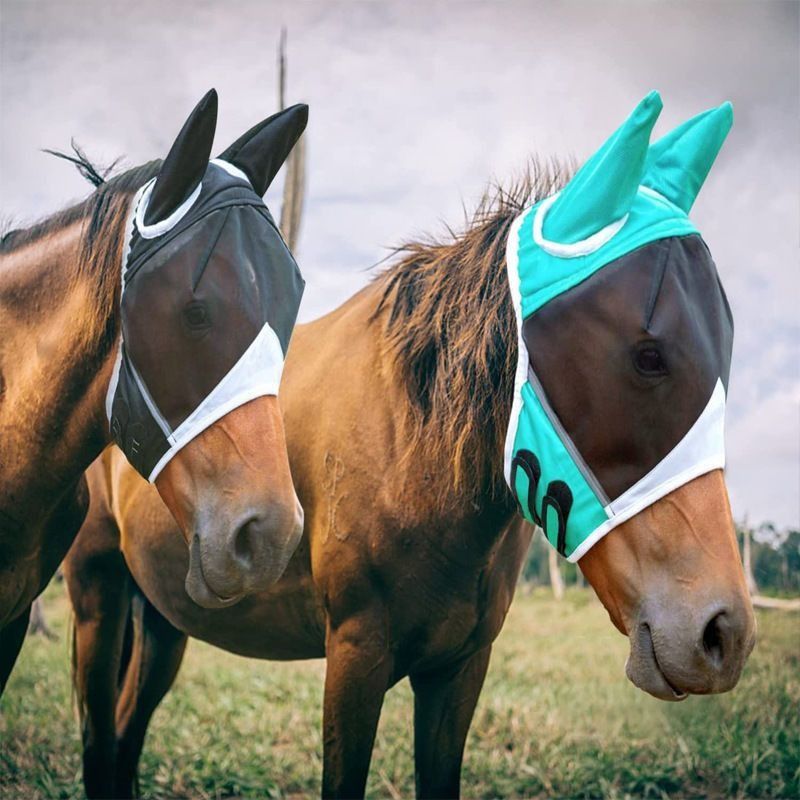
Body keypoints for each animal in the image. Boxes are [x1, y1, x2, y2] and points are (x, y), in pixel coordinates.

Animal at [64, 99, 756, 799]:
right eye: (648, 356)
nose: (722, 632)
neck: (411, 450)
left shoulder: (460, 668)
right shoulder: (355, 656)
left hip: (163, 618)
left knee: (125, 734)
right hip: (98, 594)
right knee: (99, 737)